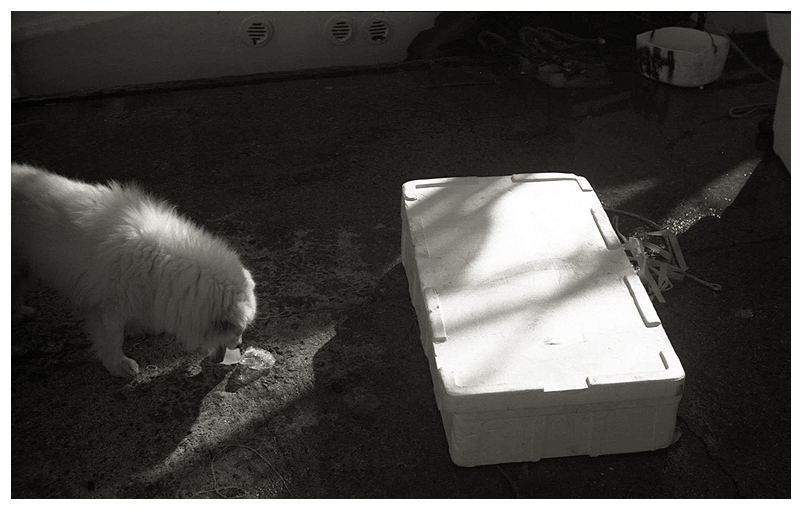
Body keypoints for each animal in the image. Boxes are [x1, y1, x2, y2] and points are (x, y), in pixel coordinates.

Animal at [11, 163, 257, 378]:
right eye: (238, 331)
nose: (240, 344)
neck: (159, 259)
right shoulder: (108, 308)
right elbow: (113, 339)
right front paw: (118, 365)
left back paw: (20, 312)